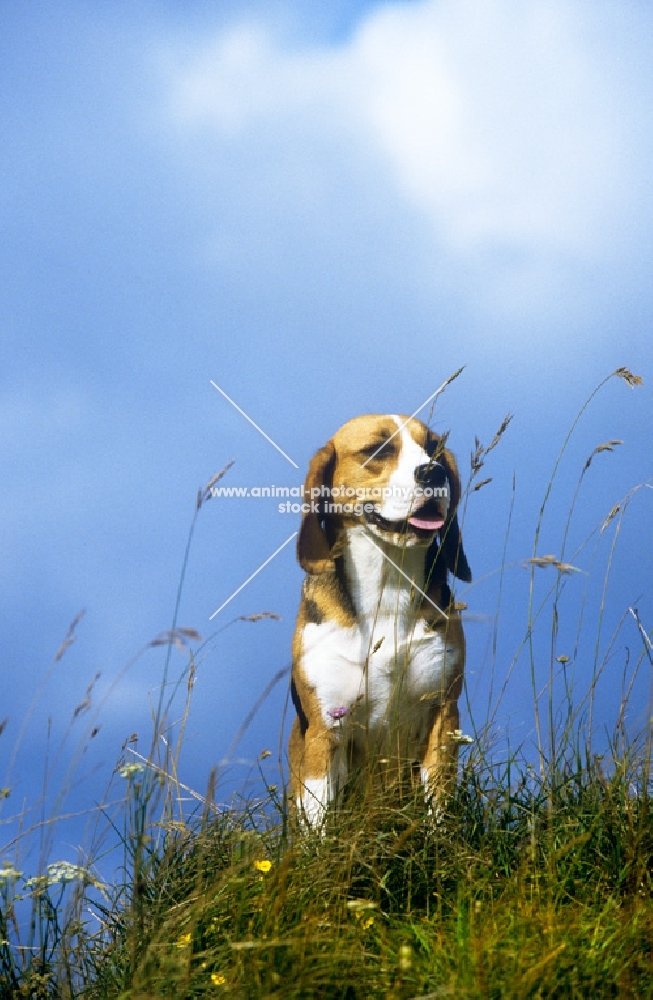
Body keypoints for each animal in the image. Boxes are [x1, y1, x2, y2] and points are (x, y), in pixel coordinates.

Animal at [290, 414, 468, 828]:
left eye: (434, 448)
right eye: (378, 449)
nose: (433, 472)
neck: (388, 587)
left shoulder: (443, 716)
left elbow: (438, 811)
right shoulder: (324, 732)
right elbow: (320, 825)